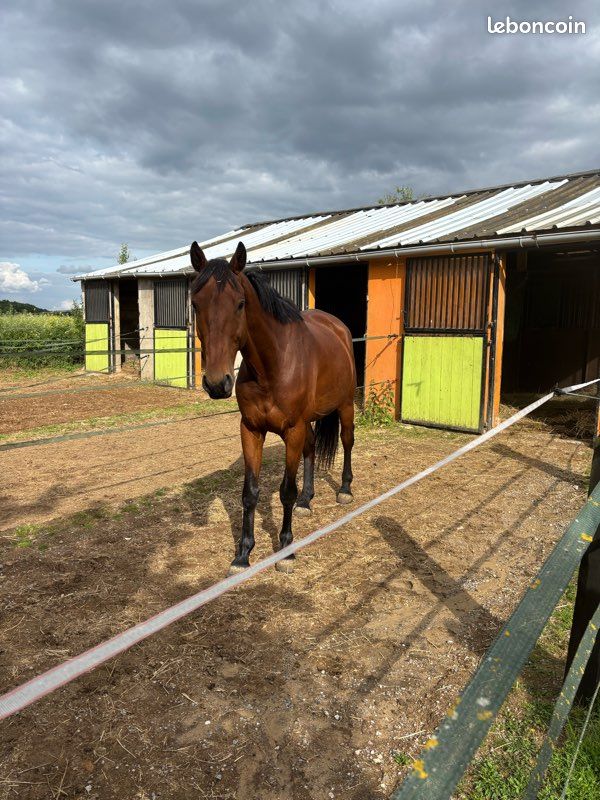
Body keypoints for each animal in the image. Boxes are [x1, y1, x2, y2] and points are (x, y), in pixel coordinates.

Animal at [190, 240, 356, 574]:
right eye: (196, 304)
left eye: (240, 304)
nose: (216, 383)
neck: (272, 365)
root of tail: (337, 326)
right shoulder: (251, 429)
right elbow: (250, 493)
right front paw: (243, 555)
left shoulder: (291, 430)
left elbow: (285, 491)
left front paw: (286, 551)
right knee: (311, 449)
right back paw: (307, 501)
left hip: (345, 407)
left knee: (347, 441)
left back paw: (345, 490)